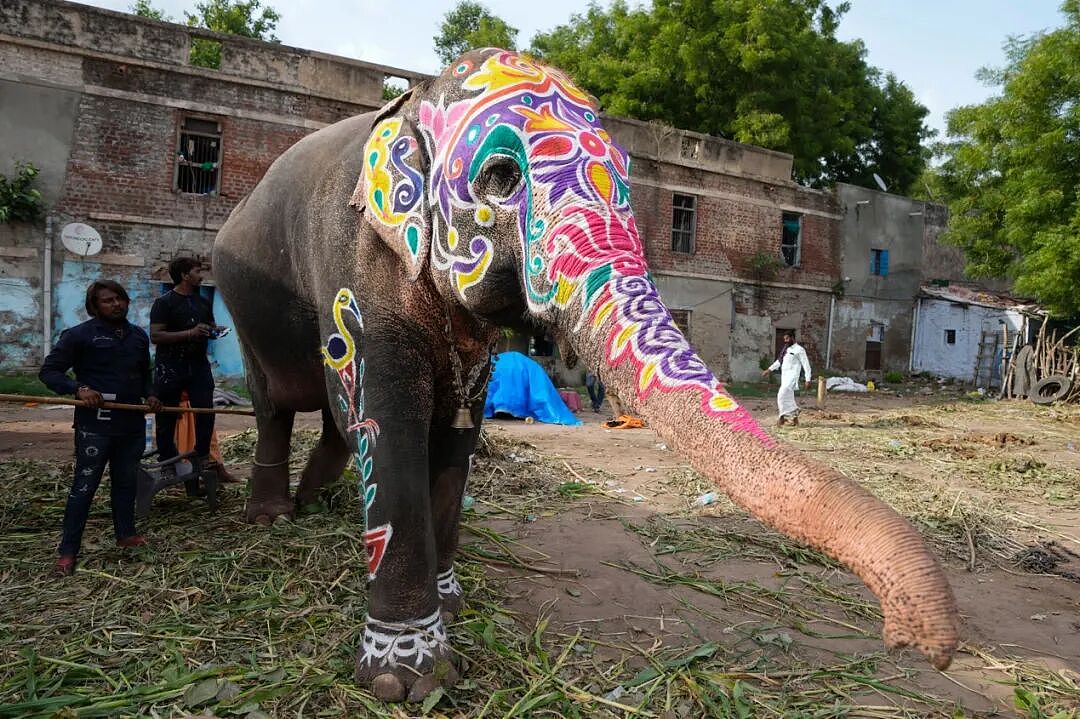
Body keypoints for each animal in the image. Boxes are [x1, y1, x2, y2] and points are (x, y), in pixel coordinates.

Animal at [212, 48, 959, 702]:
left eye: (630, 175)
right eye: (500, 178)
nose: (915, 643)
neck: (415, 102)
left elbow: (455, 435)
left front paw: (453, 604)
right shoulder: (356, 271)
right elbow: (385, 419)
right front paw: (407, 678)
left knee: (334, 420)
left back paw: (315, 500)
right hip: (238, 302)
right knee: (279, 407)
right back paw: (273, 517)